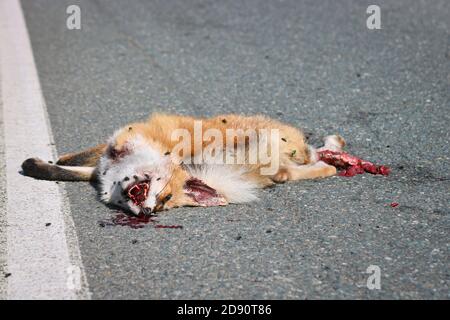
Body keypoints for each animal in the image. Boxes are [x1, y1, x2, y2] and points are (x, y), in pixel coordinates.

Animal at [21, 112, 344, 215]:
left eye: (164, 202)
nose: (148, 212)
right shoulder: (106, 158)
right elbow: (72, 167)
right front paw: (41, 164)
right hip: (286, 165)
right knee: (315, 162)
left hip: (283, 154)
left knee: (316, 160)